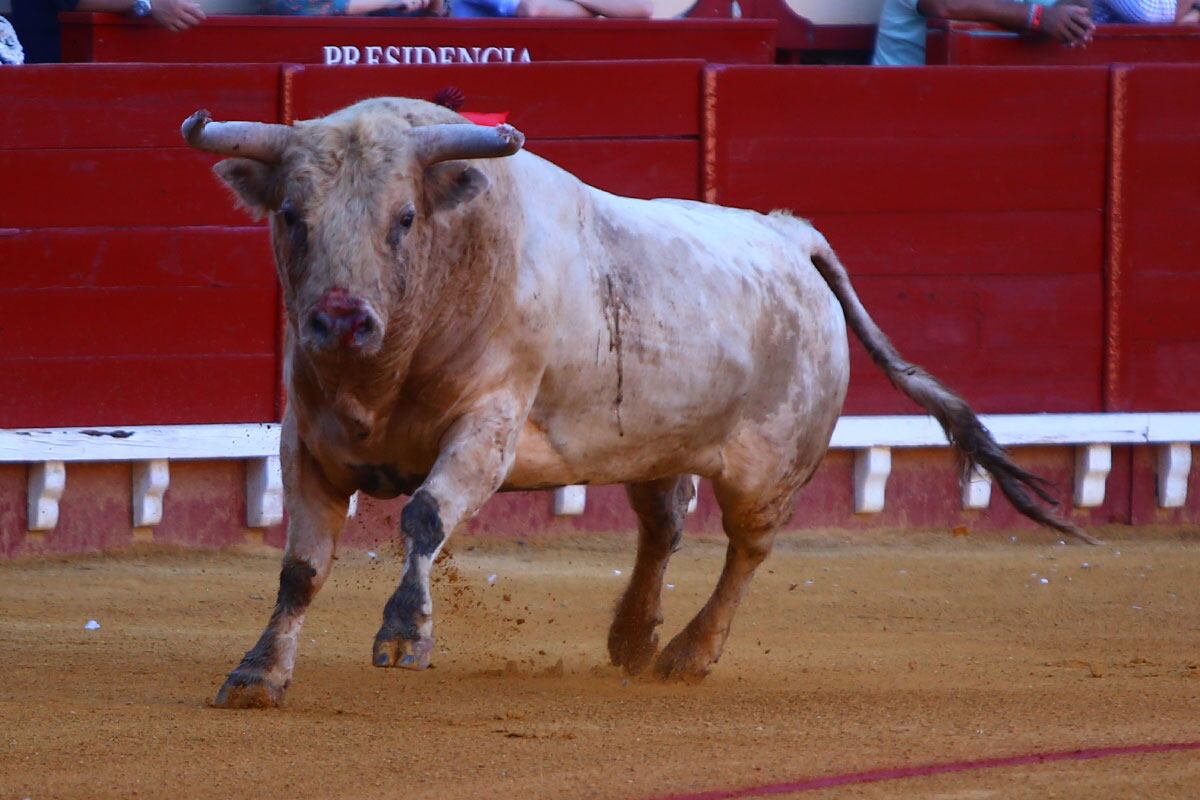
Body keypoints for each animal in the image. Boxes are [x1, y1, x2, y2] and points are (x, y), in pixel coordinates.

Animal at [182, 97, 1094, 710]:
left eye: (404, 218)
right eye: (292, 215)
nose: (340, 318)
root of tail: (788, 233)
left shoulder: (487, 428)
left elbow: (425, 516)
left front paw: (405, 631)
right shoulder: (308, 441)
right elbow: (301, 567)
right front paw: (257, 672)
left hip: (772, 469)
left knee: (747, 551)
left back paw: (689, 652)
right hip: (655, 443)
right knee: (664, 527)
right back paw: (632, 635)